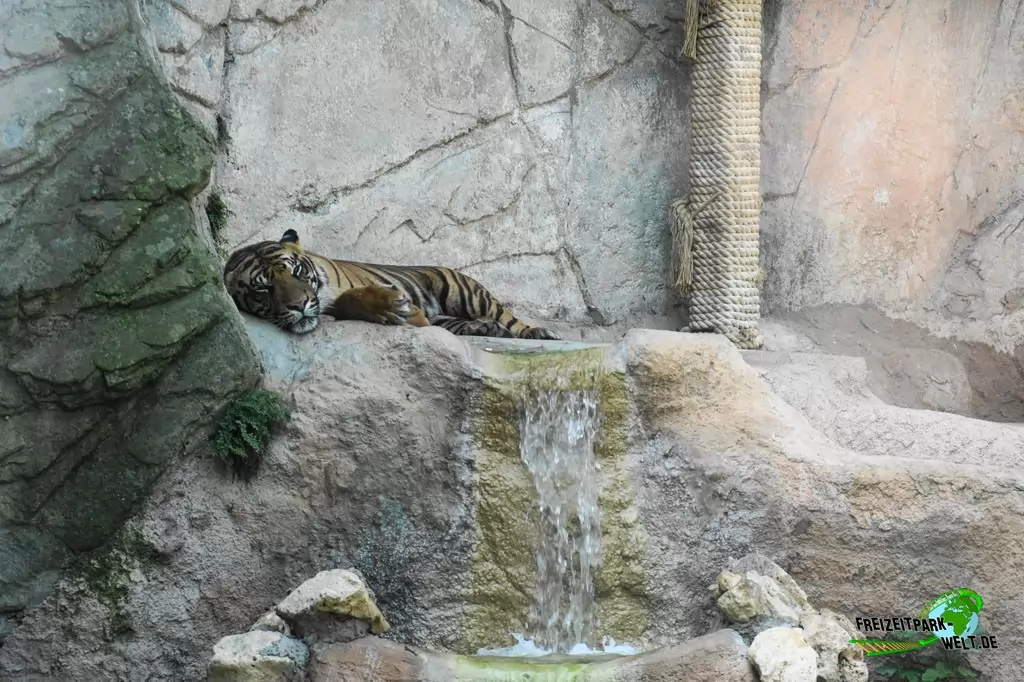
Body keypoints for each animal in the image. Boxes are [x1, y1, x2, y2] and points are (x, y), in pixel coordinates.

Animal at [222, 228, 561, 340]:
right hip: (446, 316)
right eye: (263, 289)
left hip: (467, 294)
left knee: (510, 319)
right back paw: (483, 328)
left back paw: (539, 333)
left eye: (296, 273)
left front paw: (393, 306)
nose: (299, 305)